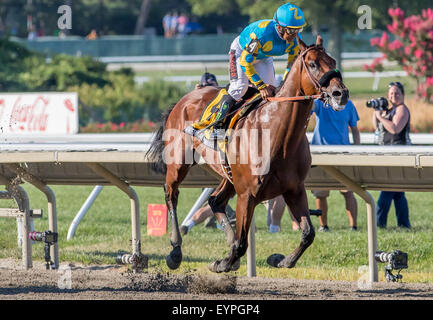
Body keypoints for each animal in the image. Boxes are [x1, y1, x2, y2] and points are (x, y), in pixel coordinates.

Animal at [147, 35, 350, 272]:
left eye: (333, 61)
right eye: (312, 64)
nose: (341, 94)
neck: (278, 135)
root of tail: (184, 99)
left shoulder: (295, 189)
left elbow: (308, 233)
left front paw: (281, 260)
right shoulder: (247, 194)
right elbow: (243, 242)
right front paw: (223, 263)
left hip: (228, 175)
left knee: (215, 201)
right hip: (179, 163)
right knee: (171, 194)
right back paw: (175, 251)